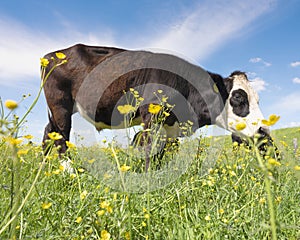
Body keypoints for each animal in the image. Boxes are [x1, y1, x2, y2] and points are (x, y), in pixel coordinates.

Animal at [41, 43, 270, 171]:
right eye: (238, 98)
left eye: (258, 99)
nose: (263, 129)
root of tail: (52, 54)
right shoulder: (150, 116)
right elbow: (150, 149)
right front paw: (150, 178)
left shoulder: (169, 126)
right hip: (60, 105)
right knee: (60, 136)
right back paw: (68, 170)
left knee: (48, 133)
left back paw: (46, 170)